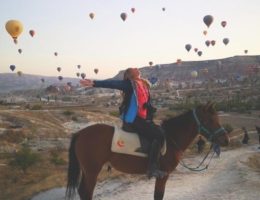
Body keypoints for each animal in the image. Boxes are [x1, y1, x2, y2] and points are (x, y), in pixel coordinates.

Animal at [65, 103, 230, 200]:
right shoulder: (163, 175)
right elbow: (158, 196)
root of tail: (80, 133)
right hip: (92, 171)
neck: (171, 138)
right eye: (210, 120)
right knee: (86, 192)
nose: (225, 140)